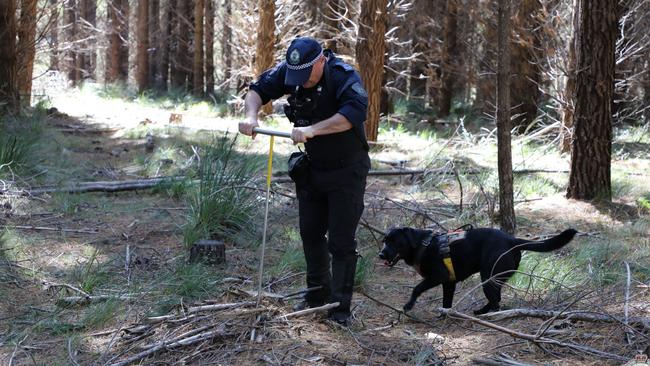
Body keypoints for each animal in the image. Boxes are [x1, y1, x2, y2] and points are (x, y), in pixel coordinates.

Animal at [378, 226, 576, 314]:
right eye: (384, 241)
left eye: (395, 241)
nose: (381, 254)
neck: (422, 245)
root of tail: (512, 241)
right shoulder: (449, 283)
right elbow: (446, 302)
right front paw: (445, 315)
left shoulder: (438, 276)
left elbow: (416, 288)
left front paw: (408, 305)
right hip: (494, 278)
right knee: (496, 298)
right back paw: (481, 312)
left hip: (488, 277)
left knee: (496, 302)